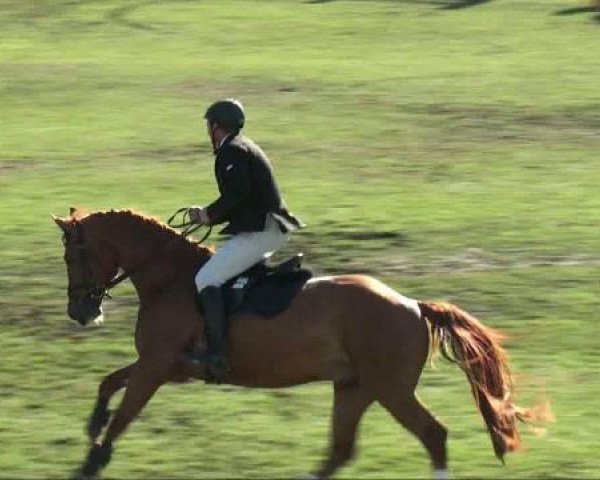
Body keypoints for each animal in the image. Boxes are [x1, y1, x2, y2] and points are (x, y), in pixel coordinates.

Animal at [52, 208, 540, 478]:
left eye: (73, 255)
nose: (80, 312)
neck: (168, 277)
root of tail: (414, 306)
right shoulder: (167, 366)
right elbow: (109, 384)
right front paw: (93, 425)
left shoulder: (157, 366)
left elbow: (125, 413)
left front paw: (94, 460)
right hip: (354, 388)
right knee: (341, 450)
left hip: (390, 390)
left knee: (432, 435)